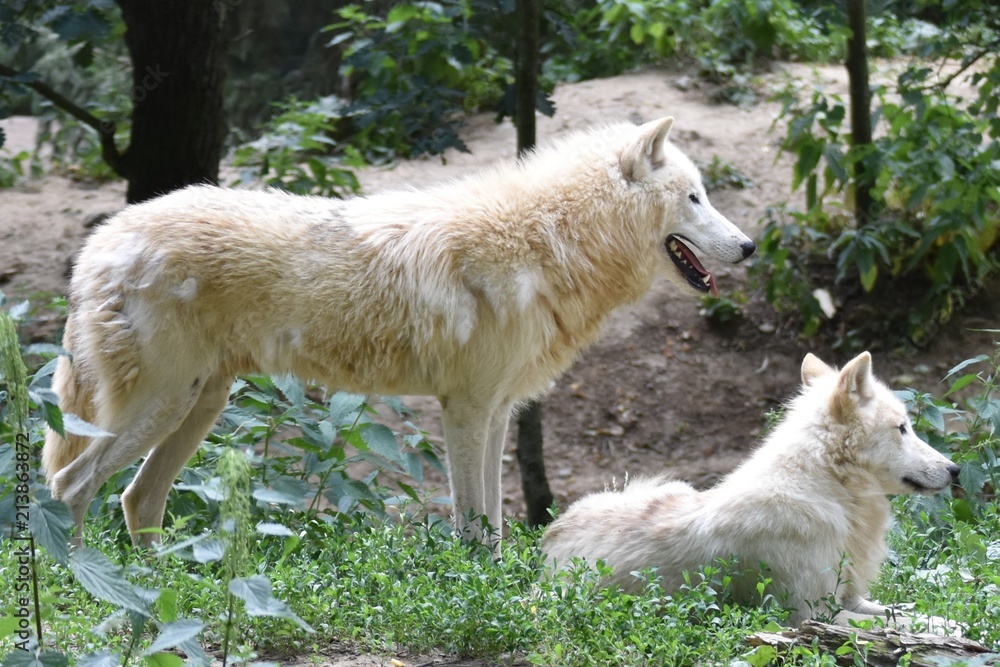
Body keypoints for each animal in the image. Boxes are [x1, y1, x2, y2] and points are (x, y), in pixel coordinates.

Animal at [43, 116, 756, 547]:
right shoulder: (465, 408)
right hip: (164, 405)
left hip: (198, 406)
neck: (545, 240)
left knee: (136, 500)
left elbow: (497, 525)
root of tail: (100, 242)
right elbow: (473, 529)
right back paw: (91, 587)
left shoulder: (497, 412)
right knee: (72, 486)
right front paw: (480, 597)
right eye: (695, 198)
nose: (748, 247)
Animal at [542, 352, 960, 627]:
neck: (828, 493)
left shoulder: (852, 599)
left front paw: (950, 626)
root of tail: (546, 542)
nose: (954, 470)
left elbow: (906, 614)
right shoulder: (810, 616)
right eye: (902, 429)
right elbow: (894, 624)